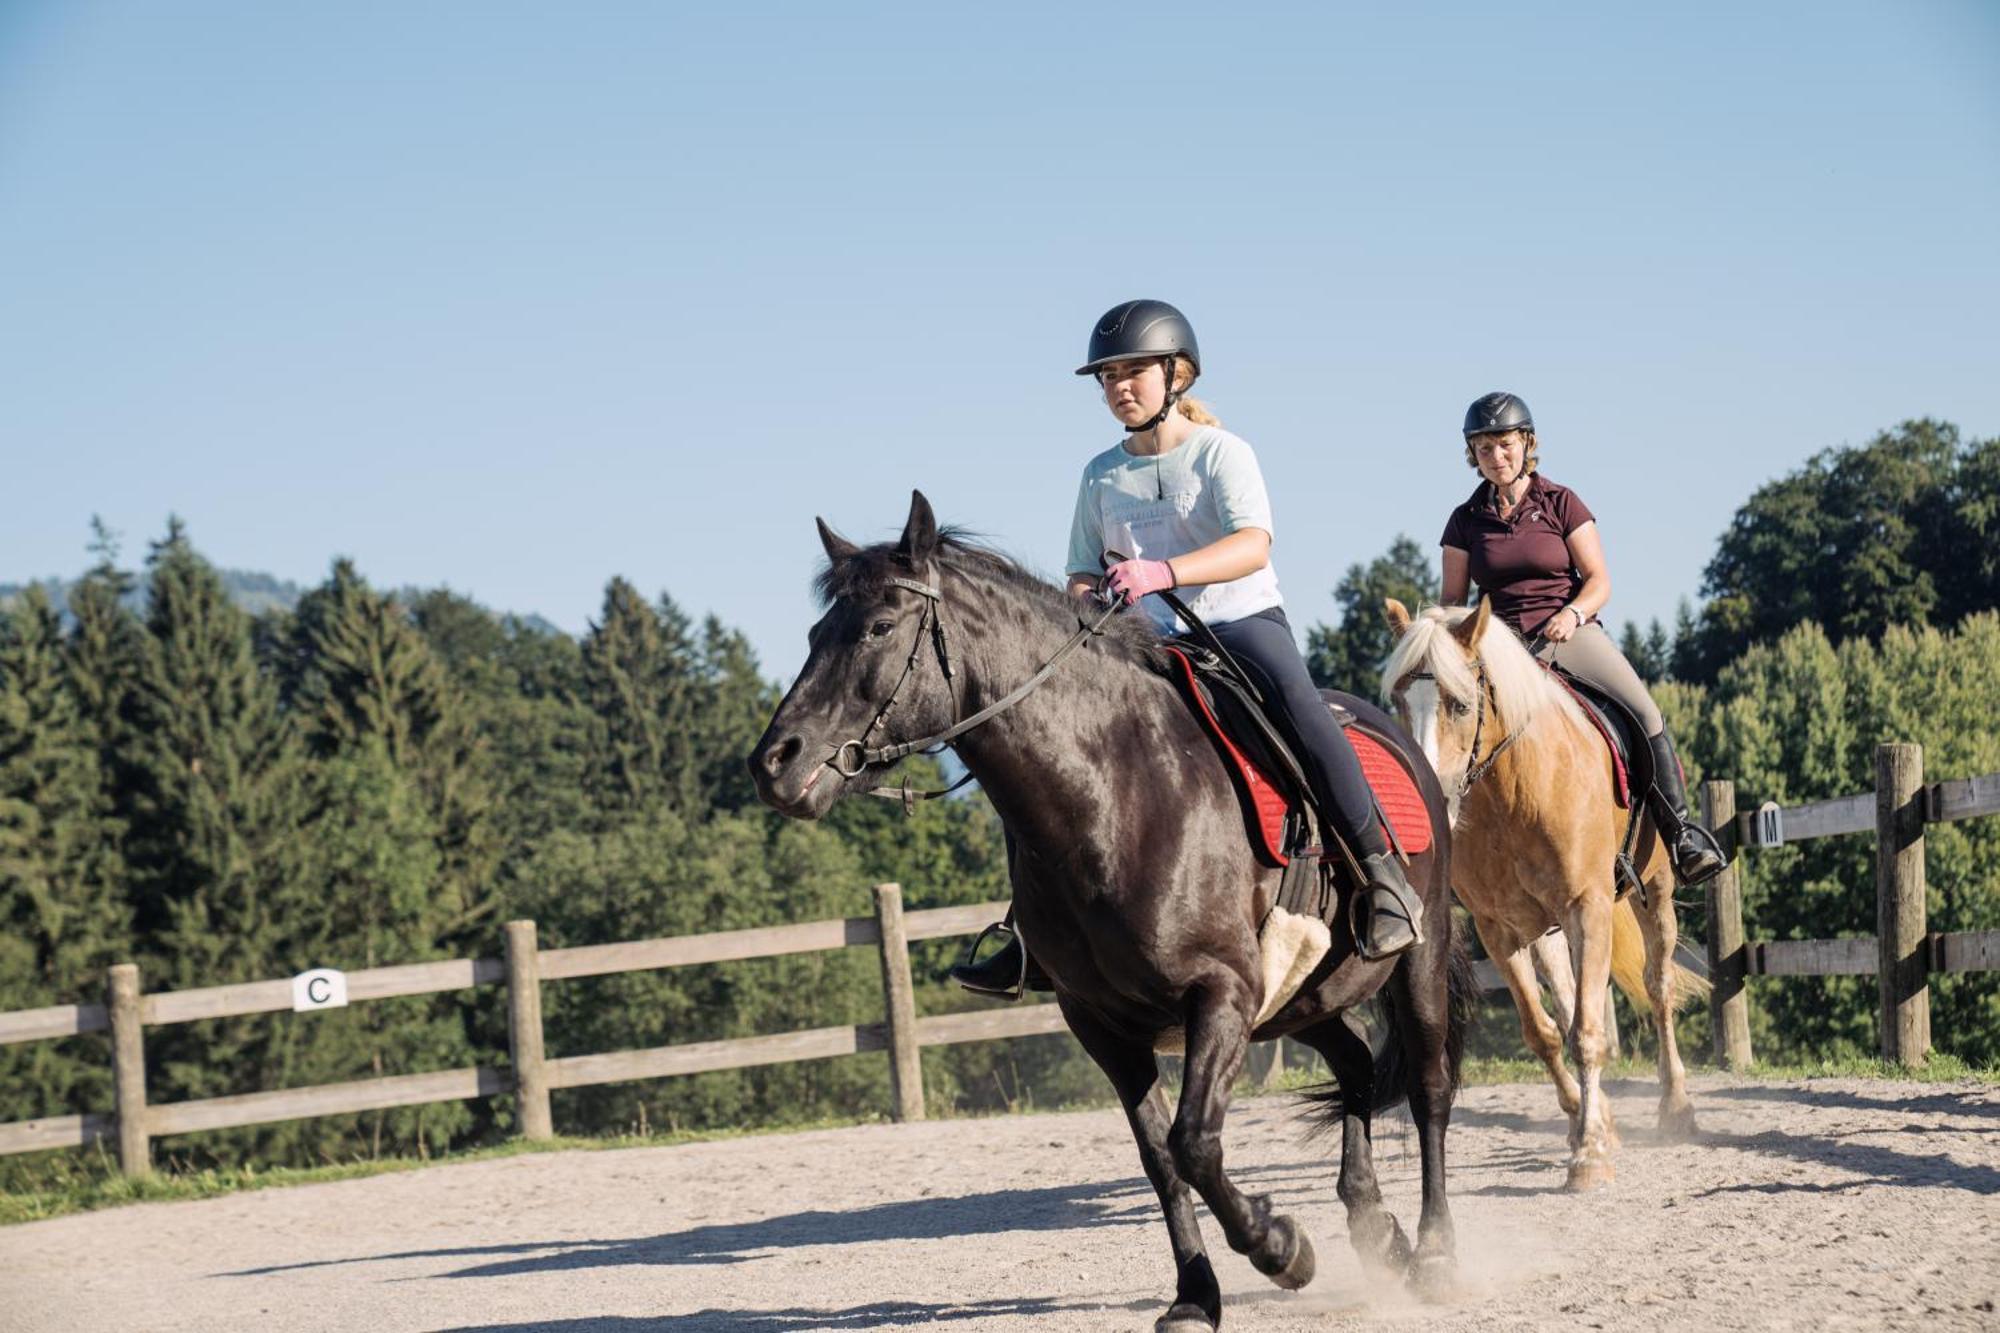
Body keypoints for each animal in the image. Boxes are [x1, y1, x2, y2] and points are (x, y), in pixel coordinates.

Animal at [752, 492, 1472, 1320]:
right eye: (815, 634)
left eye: (877, 627)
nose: (773, 762)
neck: (1117, 791)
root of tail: (1405, 744)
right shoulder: (1101, 1022)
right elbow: (1162, 1158)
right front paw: (1196, 1295)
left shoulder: (1222, 992)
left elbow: (1196, 1141)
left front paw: (1281, 1247)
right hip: (1306, 997)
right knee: (1354, 1068)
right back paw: (1376, 1226)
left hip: (1415, 962)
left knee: (1428, 1089)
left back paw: (1436, 1253)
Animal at [1384, 596, 1712, 1184]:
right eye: (1399, 700)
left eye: (1460, 705)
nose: (1427, 802)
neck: (1514, 790)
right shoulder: (1499, 930)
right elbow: (1544, 1031)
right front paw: (1588, 1127)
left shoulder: (1588, 907)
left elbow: (1588, 1032)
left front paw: (1589, 1157)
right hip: (1544, 926)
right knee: (1565, 996)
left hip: (1653, 892)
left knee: (1659, 988)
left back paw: (1675, 1108)